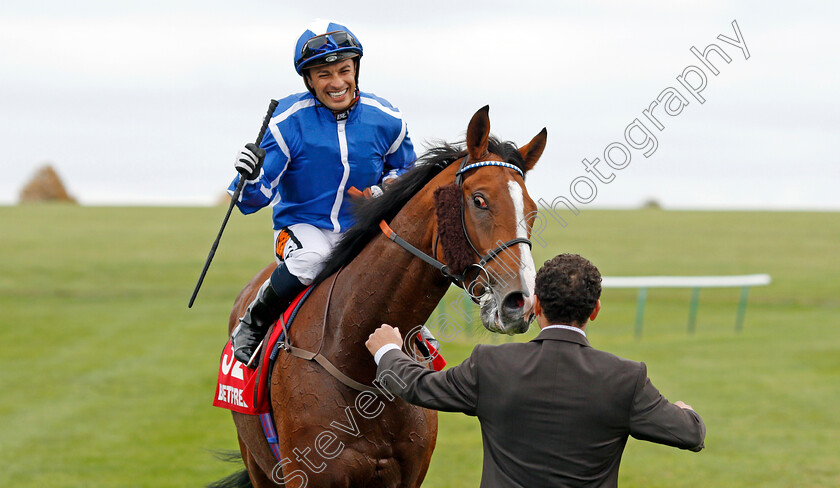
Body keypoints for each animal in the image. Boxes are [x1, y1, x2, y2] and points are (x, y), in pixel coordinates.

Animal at [215, 107, 544, 488]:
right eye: (480, 200)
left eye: (532, 209)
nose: (520, 301)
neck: (354, 358)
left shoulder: (408, 476)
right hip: (258, 465)